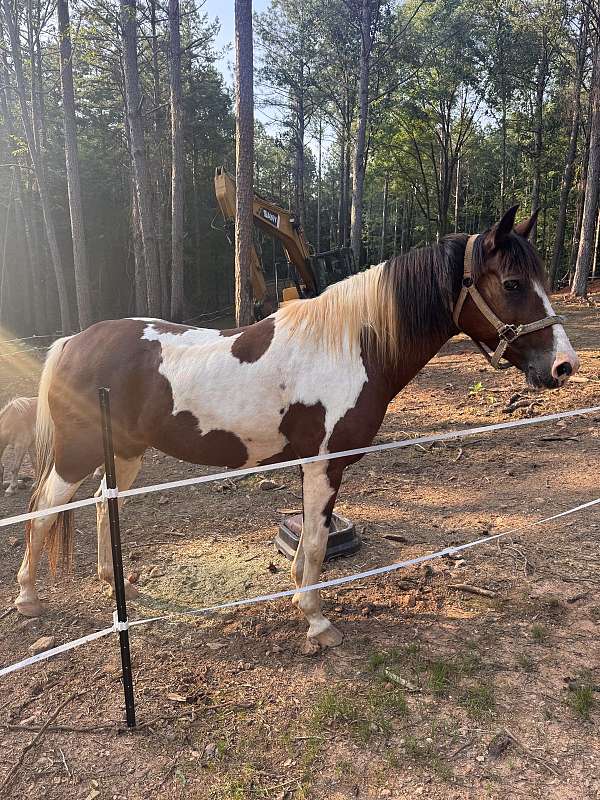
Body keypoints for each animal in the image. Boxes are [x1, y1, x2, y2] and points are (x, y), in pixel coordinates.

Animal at [15, 206, 579, 650]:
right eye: (512, 284)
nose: (563, 366)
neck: (352, 346)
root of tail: (73, 341)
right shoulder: (323, 465)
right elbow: (315, 543)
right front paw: (316, 621)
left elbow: (311, 539)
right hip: (76, 455)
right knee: (42, 510)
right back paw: (27, 597)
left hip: (125, 452)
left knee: (100, 504)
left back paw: (115, 585)